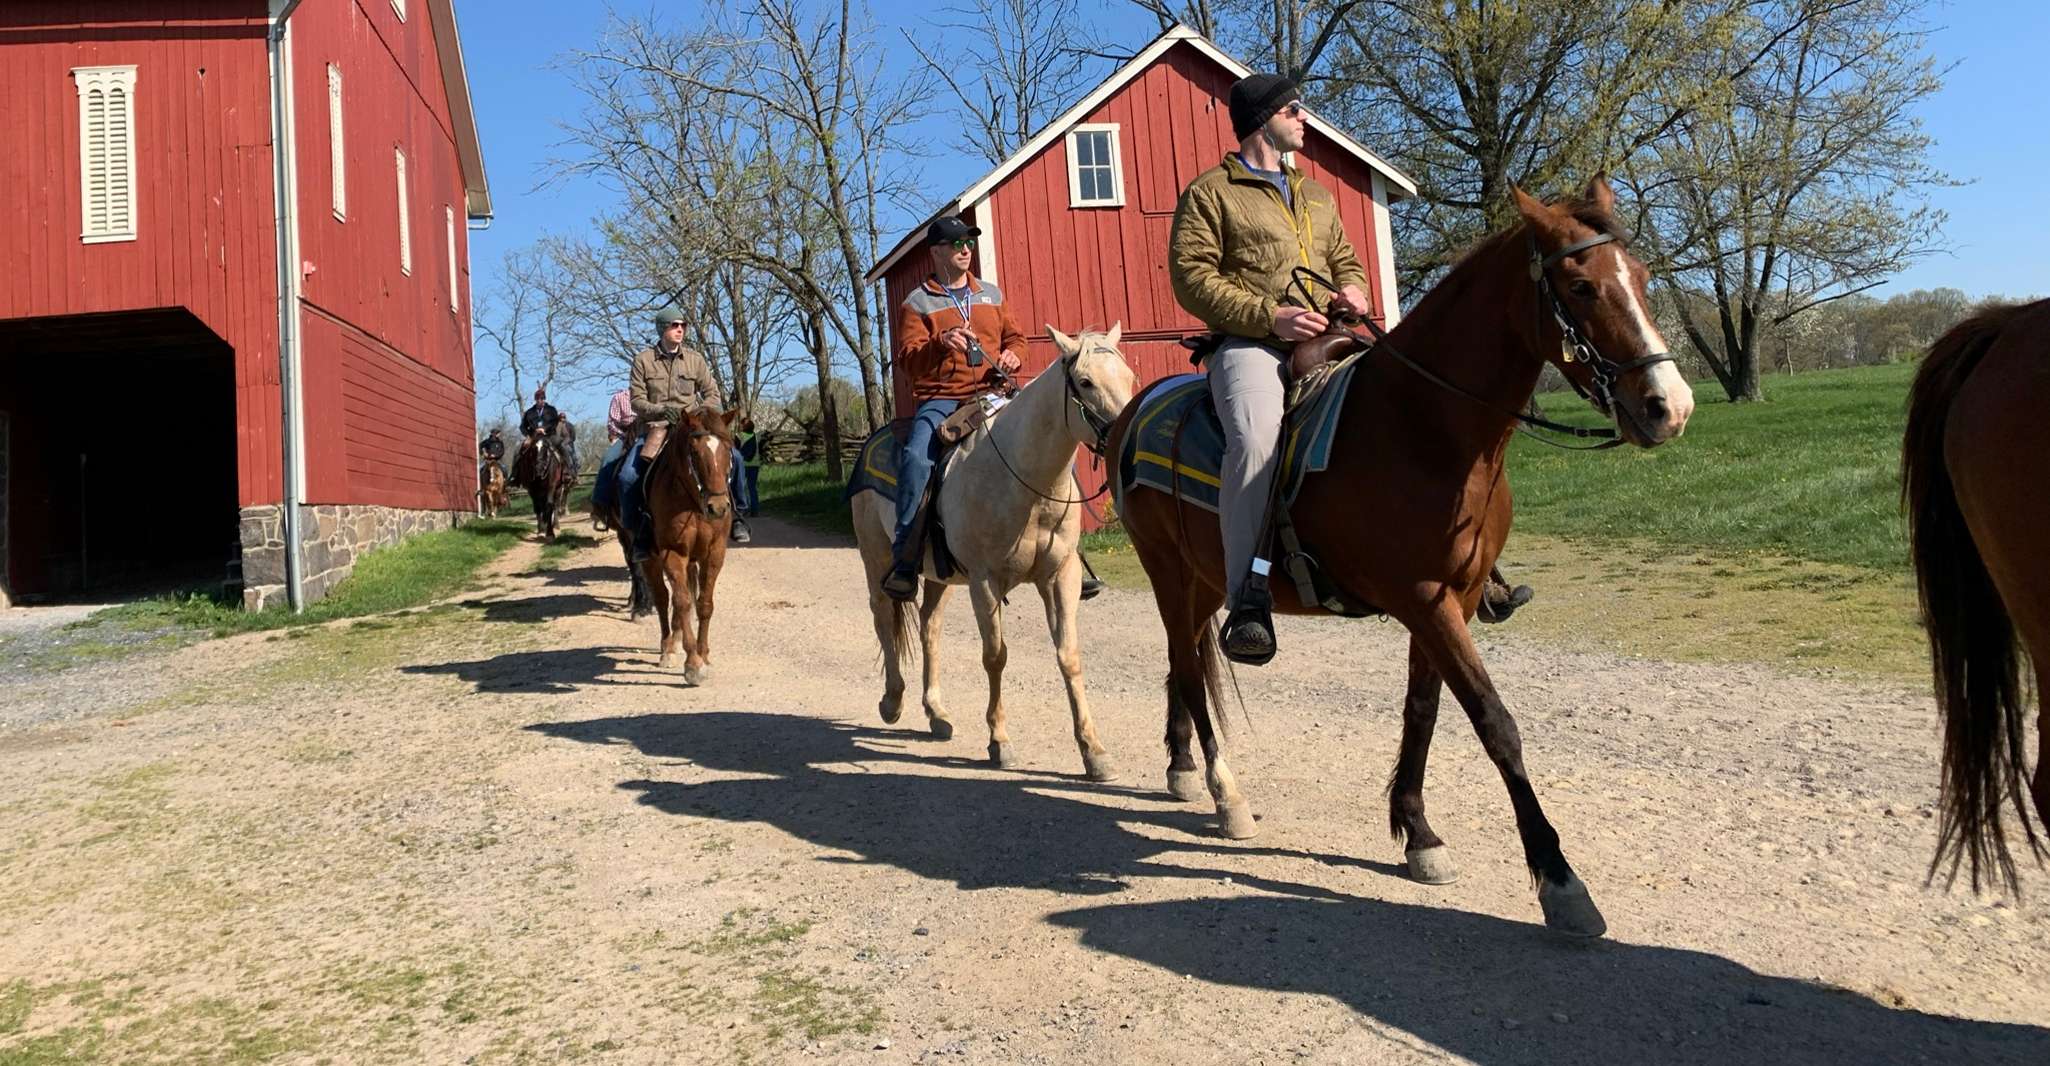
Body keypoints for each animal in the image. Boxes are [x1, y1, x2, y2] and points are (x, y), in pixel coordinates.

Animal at [639, 407, 746, 684]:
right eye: (695, 453)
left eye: (728, 449)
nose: (718, 508)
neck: (692, 502)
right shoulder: (672, 553)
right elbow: (682, 602)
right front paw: (693, 663)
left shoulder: (714, 553)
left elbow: (704, 604)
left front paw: (703, 653)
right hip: (651, 560)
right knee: (662, 597)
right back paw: (667, 648)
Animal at [844, 323, 1139, 774]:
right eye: (1086, 382)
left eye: (1129, 377)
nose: (1126, 440)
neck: (1024, 481)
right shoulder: (986, 582)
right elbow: (995, 656)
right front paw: (1000, 740)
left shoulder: (1061, 576)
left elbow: (1069, 655)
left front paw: (1093, 750)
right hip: (876, 560)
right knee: (883, 617)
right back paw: (892, 701)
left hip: (939, 576)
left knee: (929, 627)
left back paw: (936, 713)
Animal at [1107, 179, 1697, 938]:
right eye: (1581, 286)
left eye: (1643, 279)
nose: (1667, 407)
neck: (1422, 425)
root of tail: (1134, 411)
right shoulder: (1423, 597)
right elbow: (1494, 722)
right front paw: (1560, 882)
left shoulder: (1454, 599)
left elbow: (1424, 711)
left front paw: (1419, 836)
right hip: (1167, 573)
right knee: (1186, 664)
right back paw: (1223, 792)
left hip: (1207, 579)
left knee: (1184, 666)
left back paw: (1181, 767)